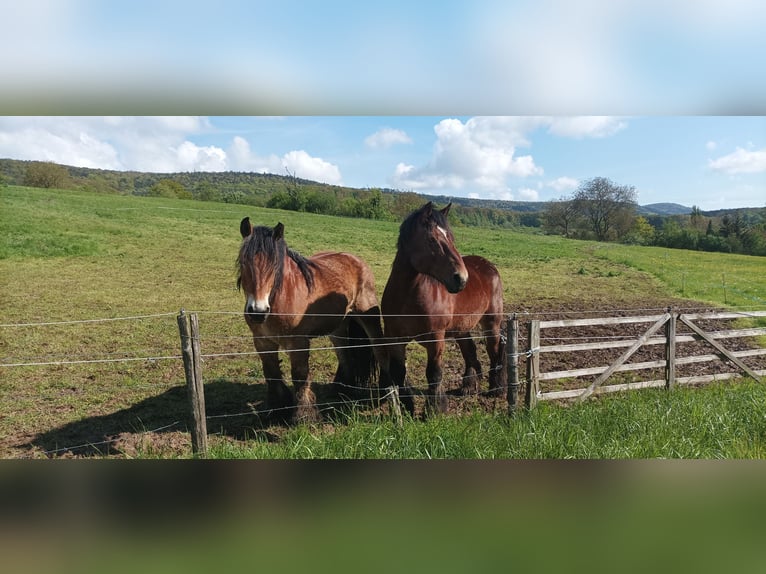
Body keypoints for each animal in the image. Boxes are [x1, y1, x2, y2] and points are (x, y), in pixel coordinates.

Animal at [237, 218, 390, 426]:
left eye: (274, 265)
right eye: (244, 262)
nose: (258, 312)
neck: (280, 298)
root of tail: (357, 261)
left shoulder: (298, 342)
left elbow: (300, 375)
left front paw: (304, 416)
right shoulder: (262, 342)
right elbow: (271, 373)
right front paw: (278, 409)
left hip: (369, 318)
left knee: (380, 349)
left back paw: (386, 391)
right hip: (338, 327)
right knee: (344, 353)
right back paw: (342, 390)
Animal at [380, 204, 508, 418]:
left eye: (451, 238)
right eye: (432, 240)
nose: (461, 279)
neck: (408, 296)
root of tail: (488, 265)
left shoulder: (436, 340)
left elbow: (434, 373)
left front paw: (435, 410)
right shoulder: (394, 339)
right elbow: (399, 373)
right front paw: (406, 407)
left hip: (491, 322)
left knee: (494, 350)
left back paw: (497, 388)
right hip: (462, 327)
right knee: (470, 350)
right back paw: (468, 386)